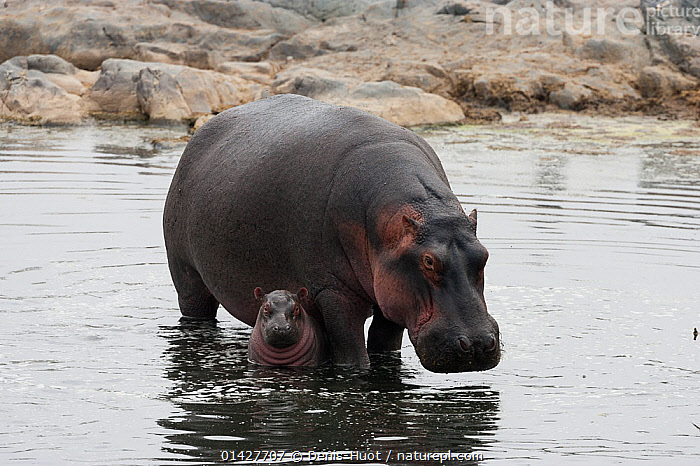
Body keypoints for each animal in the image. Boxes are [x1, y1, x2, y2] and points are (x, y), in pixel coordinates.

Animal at [166, 93, 500, 372]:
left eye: (484, 255)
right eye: (429, 261)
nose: (478, 344)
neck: (424, 208)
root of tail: (202, 132)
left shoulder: (395, 293)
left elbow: (384, 344)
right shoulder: (333, 292)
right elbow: (353, 356)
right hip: (187, 276)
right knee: (195, 309)